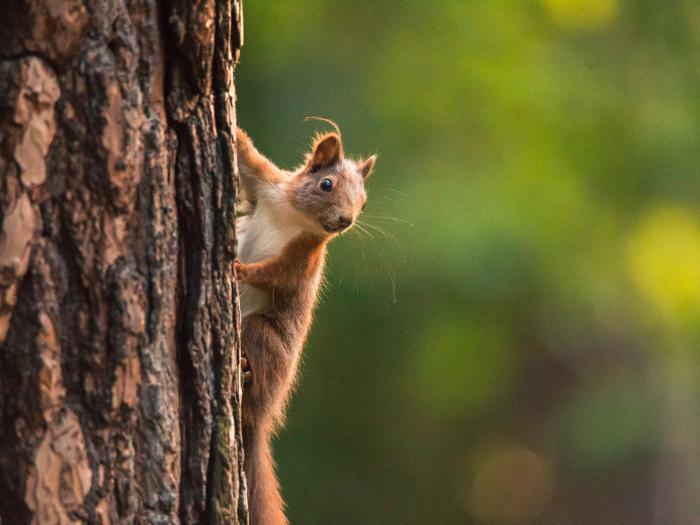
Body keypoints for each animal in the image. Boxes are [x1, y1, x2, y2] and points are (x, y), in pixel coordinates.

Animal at [234, 125, 378, 520]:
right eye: (326, 183)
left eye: (363, 202)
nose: (345, 221)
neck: (292, 215)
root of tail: (259, 423)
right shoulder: (264, 185)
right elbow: (246, 157)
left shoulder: (305, 255)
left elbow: (277, 277)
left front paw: (240, 270)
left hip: (260, 333)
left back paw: (246, 372)